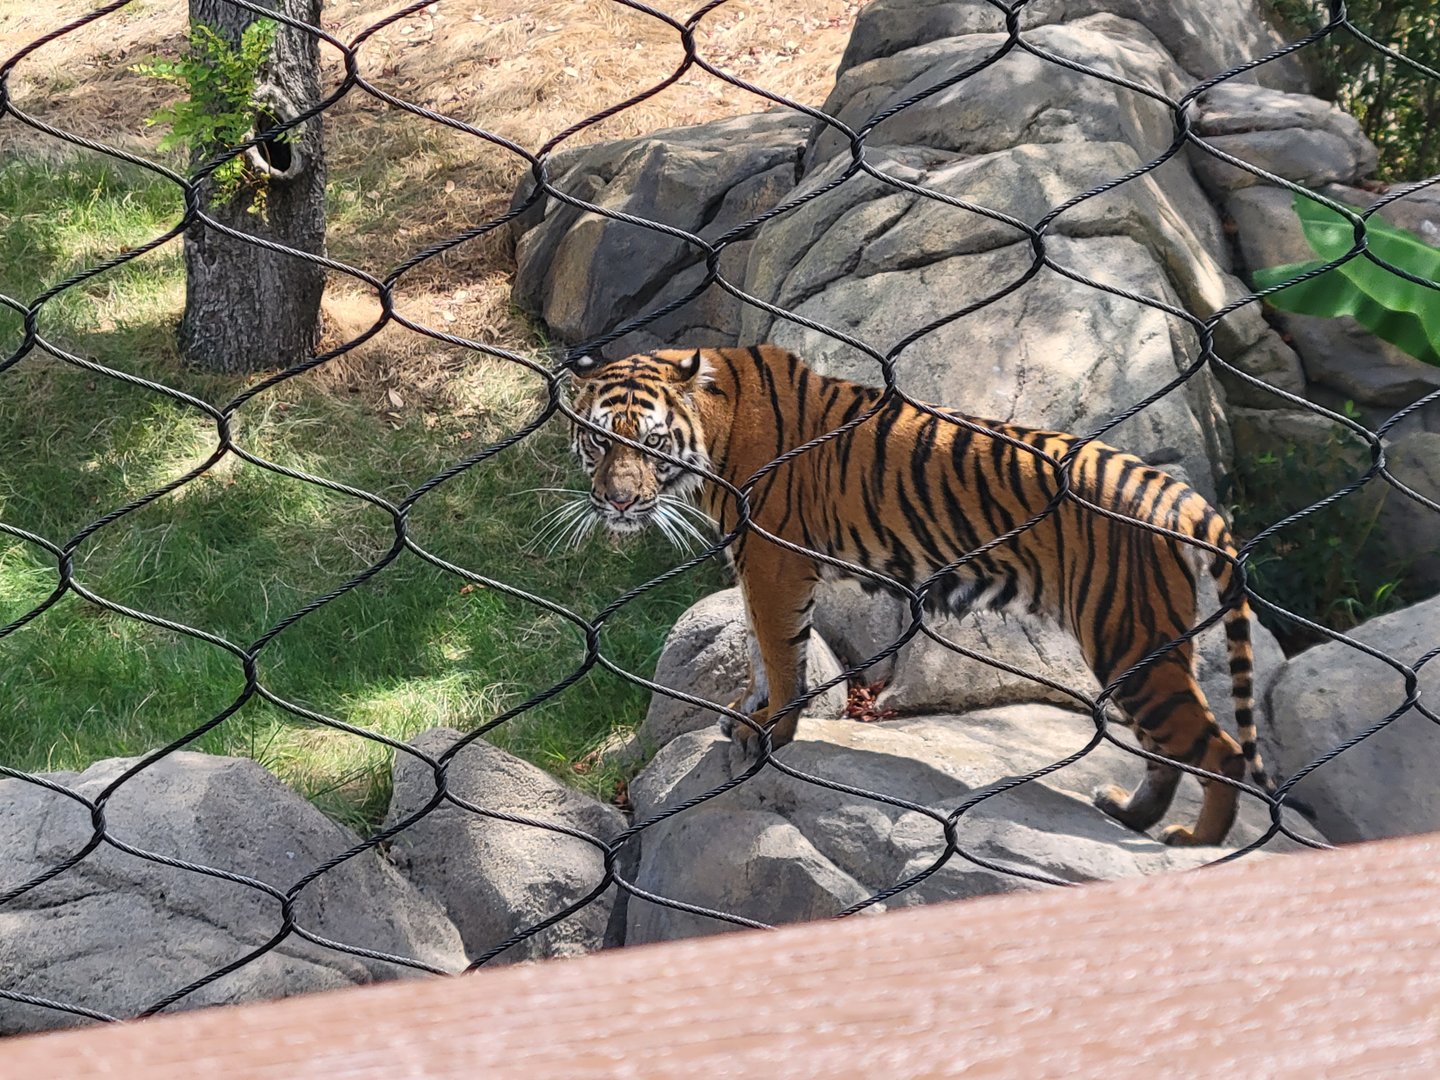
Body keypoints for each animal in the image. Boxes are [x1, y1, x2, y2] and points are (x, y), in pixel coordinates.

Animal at [565, 344, 1278, 847]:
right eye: (599, 439)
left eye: (650, 441)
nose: (617, 501)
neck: (717, 427)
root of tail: (1175, 491)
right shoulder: (755, 561)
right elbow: (763, 650)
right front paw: (748, 711)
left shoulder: (774, 562)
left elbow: (780, 649)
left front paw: (770, 729)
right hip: (1148, 643)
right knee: (1169, 747)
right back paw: (1133, 813)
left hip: (1126, 636)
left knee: (1219, 748)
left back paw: (1195, 840)